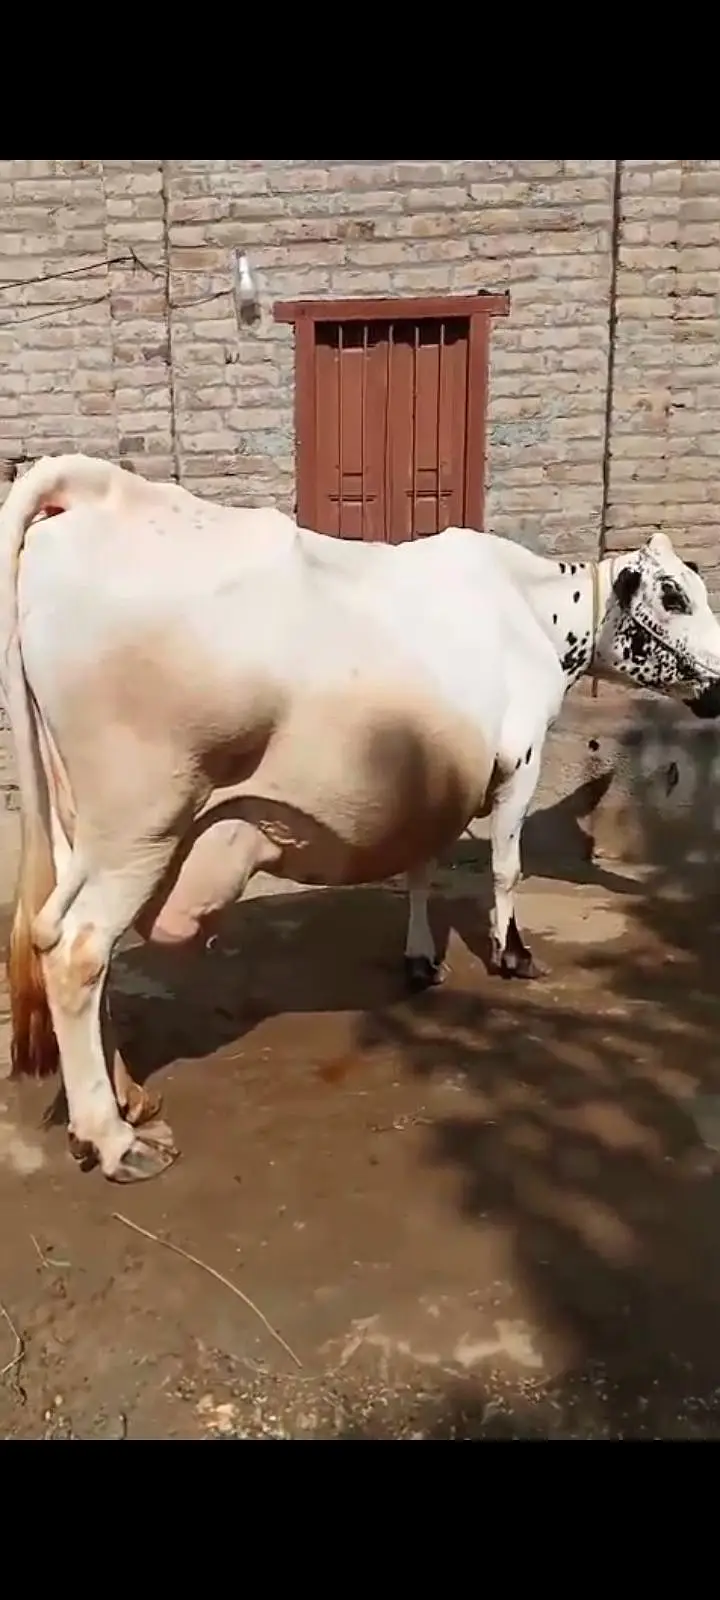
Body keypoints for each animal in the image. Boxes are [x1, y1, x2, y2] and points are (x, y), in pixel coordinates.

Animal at [2, 453, 720, 1186]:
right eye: (674, 596)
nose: (719, 684)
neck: (531, 610)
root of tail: (97, 491)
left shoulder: (437, 785)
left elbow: (422, 867)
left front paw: (421, 959)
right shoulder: (519, 759)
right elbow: (506, 868)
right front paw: (512, 954)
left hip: (83, 826)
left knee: (78, 947)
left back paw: (130, 1099)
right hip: (141, 820)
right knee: (78, 950)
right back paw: (112, 1138)